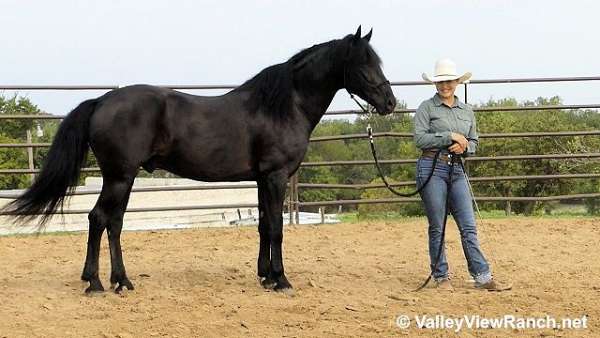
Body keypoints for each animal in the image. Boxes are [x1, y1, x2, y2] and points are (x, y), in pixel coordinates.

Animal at [5, 26, 398, 294]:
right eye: (364, 64)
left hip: (123, 179)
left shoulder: (261, 179)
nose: (390, 102)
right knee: (99, 219)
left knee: (113, 223)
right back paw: (98, 283)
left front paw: (265, 276)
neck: (284, 105)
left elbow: (262, 226)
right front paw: (282, 279)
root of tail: (101, 101)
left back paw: (121, 281)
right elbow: (276, 228)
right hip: (119, 177)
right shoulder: (276, 177)